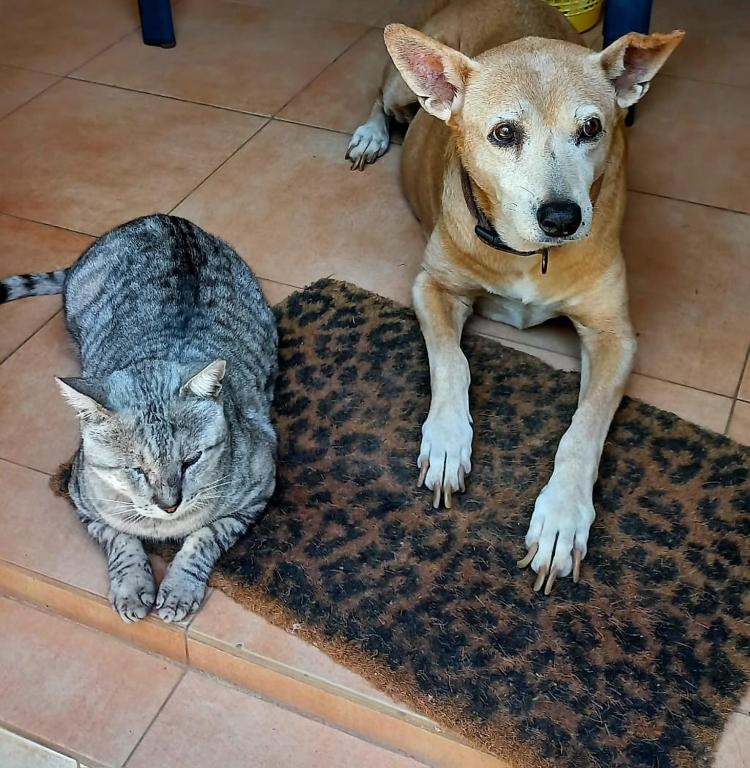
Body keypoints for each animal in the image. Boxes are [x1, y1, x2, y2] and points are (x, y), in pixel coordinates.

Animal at [0, 214, 278, 623]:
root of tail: (167, 218)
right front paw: (132, 587)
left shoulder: (258, 491)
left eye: (191, 460)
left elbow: (204, 538)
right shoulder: (82, 497)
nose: (170, 504)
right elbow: (120, 539)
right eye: (136, 469)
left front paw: (179, 590)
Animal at [346, 0, 683, 593]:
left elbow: (584, 428)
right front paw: (447, 440)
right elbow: (451, 362)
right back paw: (369, 134)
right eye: (504, 133)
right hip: (402, 86)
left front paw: (562, 516)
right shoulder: (433, 286)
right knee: (380, 101)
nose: (563, 218)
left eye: (591, 128)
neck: (529, 253)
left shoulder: (614, 335)